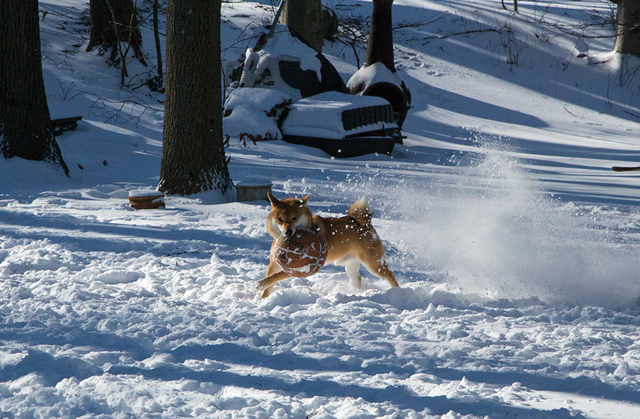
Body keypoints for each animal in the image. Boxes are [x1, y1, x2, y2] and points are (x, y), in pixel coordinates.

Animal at [256, 194, 398, 298]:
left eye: (295, 218)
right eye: (280, 219)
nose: (288, 231)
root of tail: (365, 223)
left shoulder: (303, 269)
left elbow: (276, 276)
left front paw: (261, 283)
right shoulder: (274, 263)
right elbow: (270, 281)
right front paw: (262, 298)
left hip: (373, 264)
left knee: (390, 275)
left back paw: (397, 292)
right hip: (350, 265)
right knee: (358, 278)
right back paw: (356, 292)